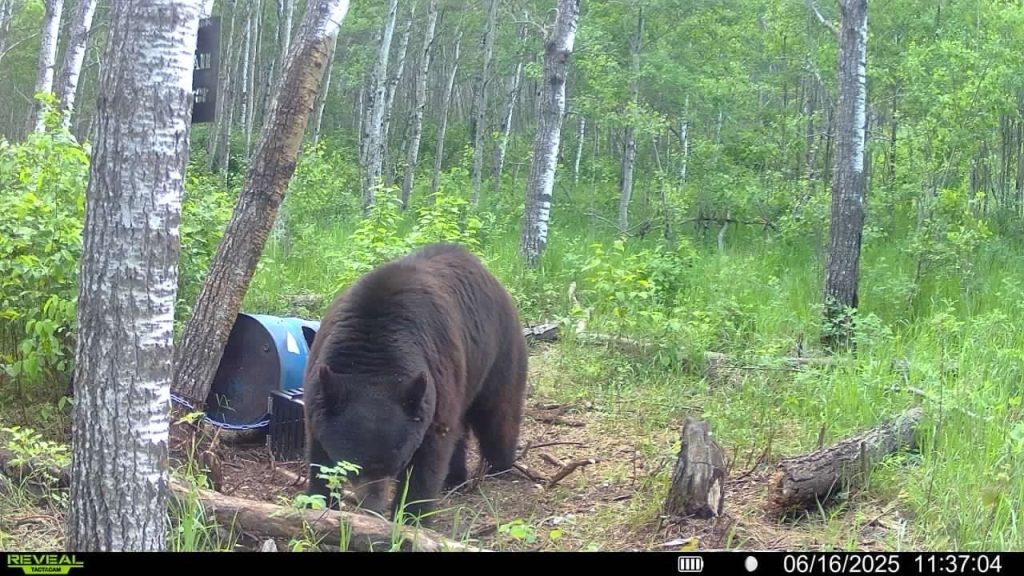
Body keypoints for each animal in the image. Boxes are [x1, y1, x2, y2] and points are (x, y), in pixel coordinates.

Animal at [302, 243, 529, 525]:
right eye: (353, 465)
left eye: (395, 463)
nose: (373, 506)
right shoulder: (319, 395)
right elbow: (319, 456)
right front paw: (319, 506)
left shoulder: (434, 384)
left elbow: (428, 458)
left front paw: (412, 519)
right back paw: (455, 477)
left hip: (497, 352)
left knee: (498, 412)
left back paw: (500, 465)